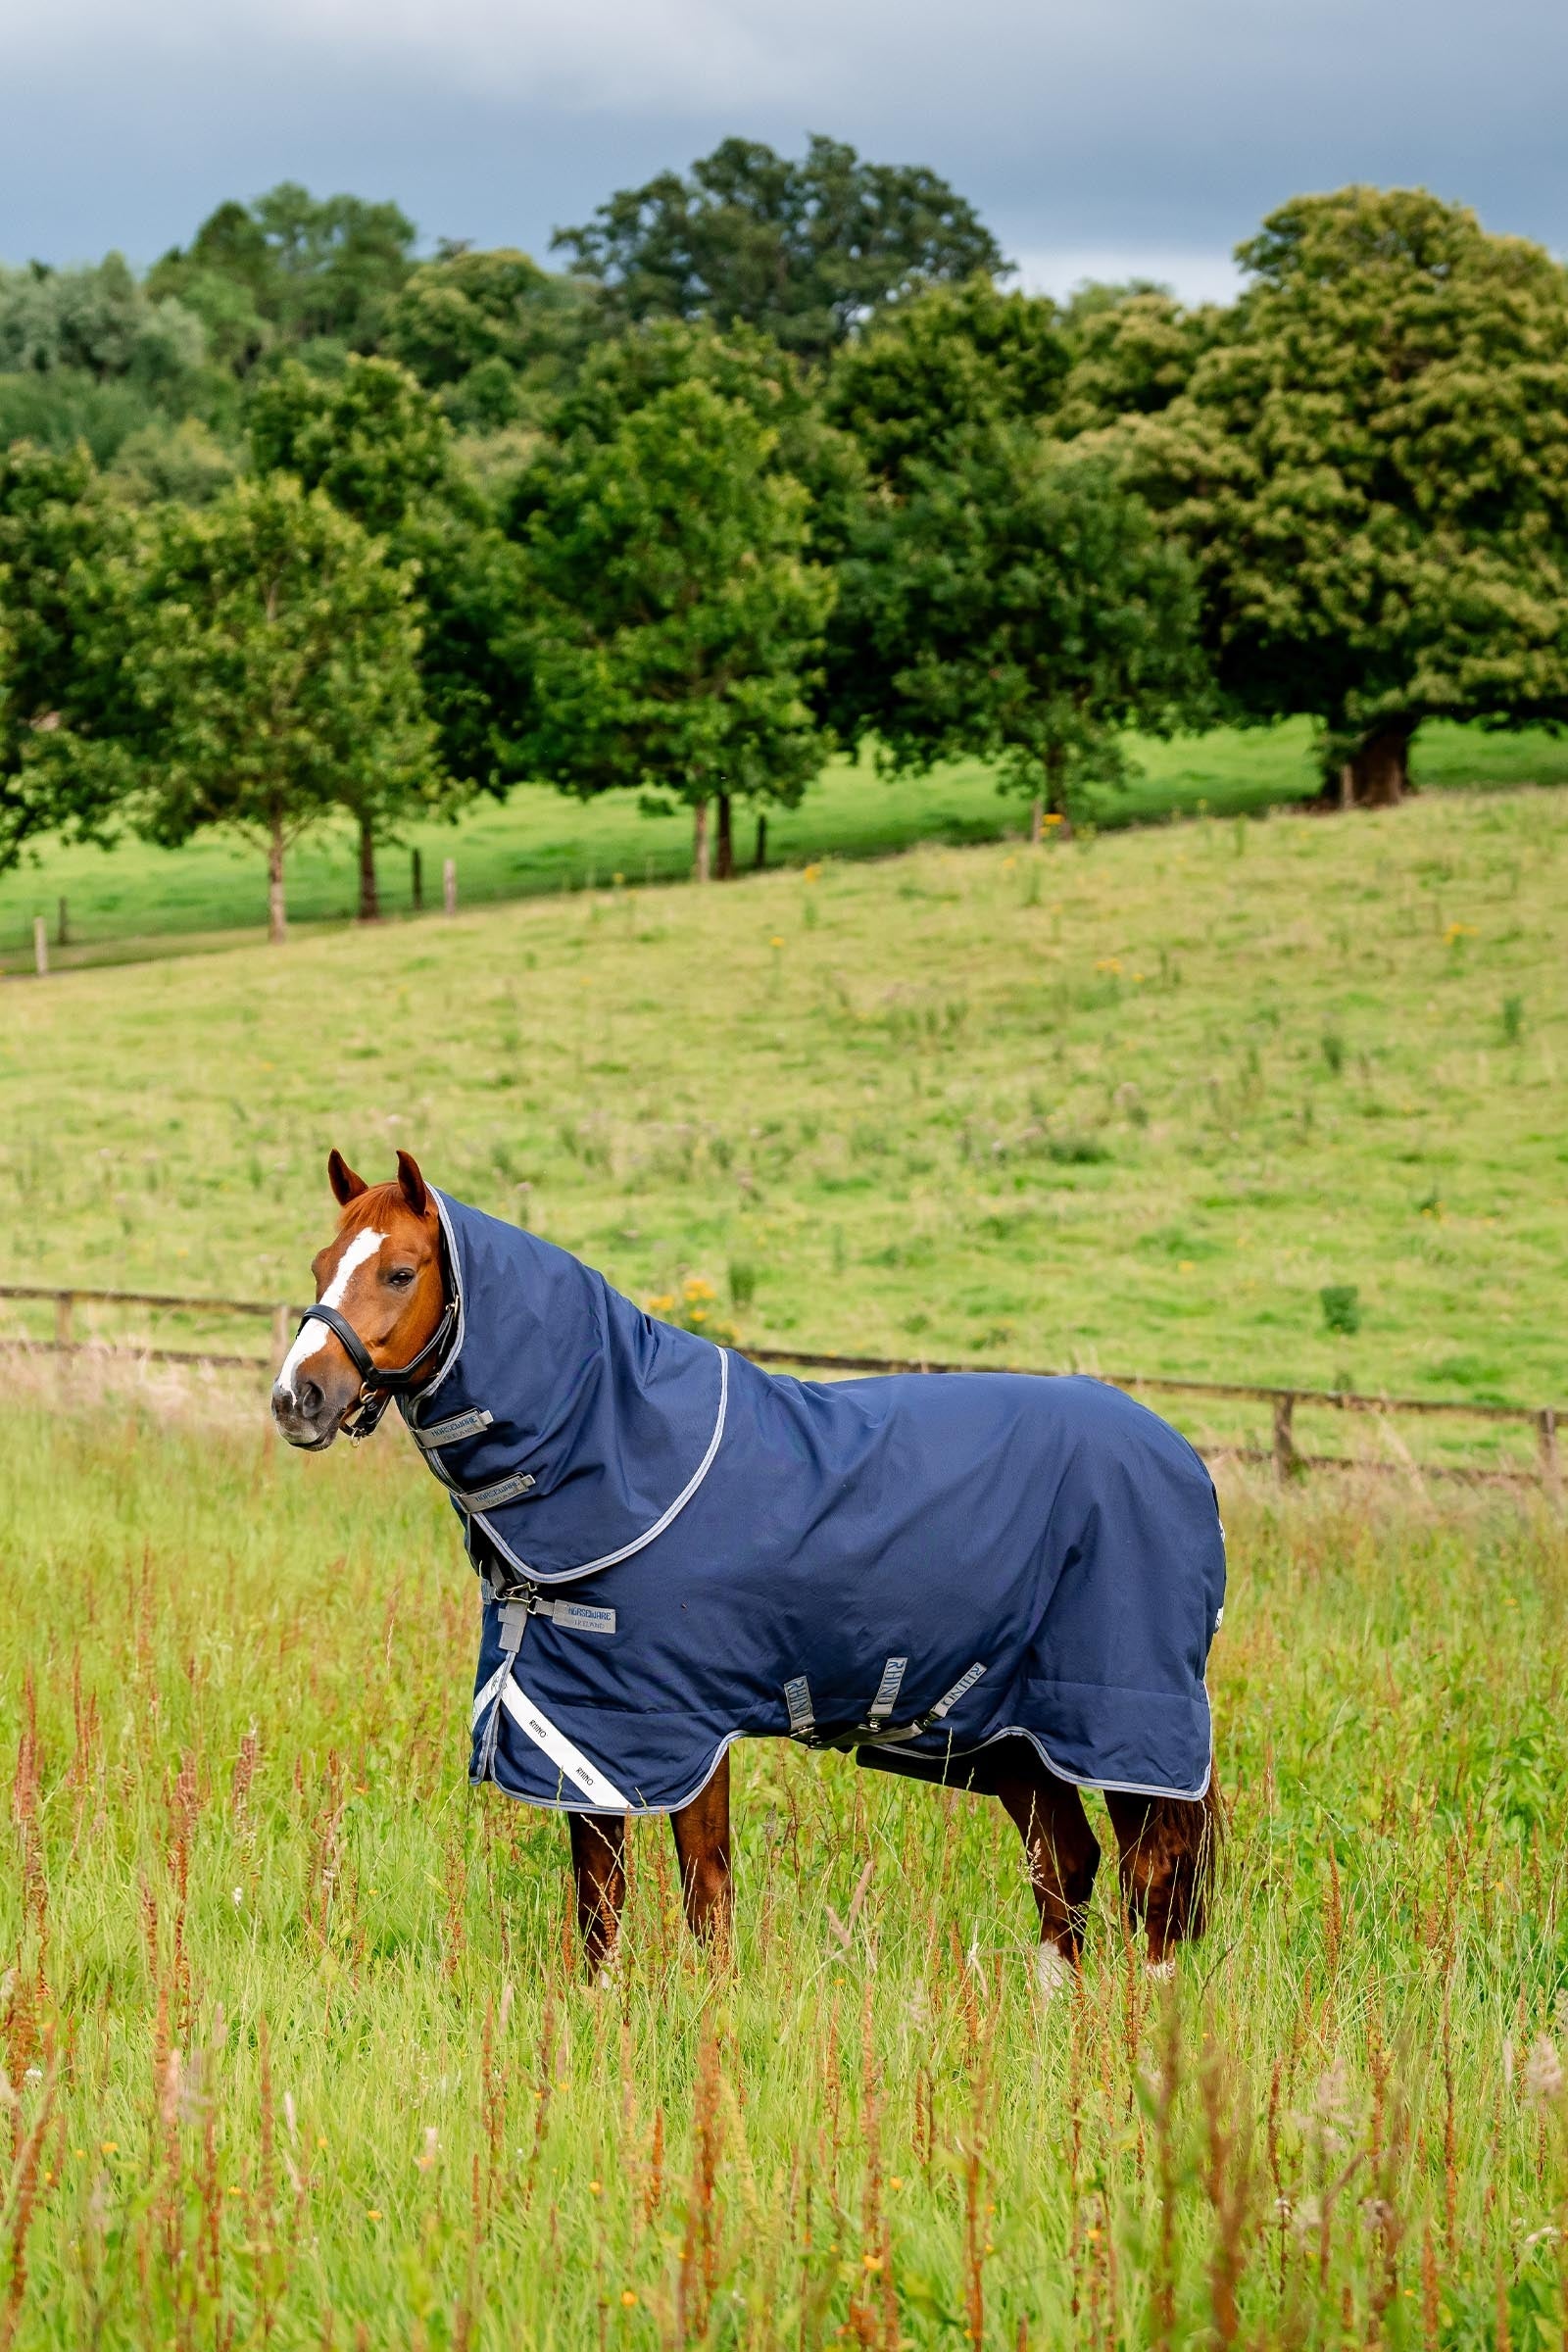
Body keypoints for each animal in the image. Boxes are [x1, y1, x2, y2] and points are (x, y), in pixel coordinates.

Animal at [272, 1149, 1223, 1987]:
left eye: (400, 1271)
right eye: (321, 1263)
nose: (296, 1399)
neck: (621, 1447)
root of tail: (1180, 1454)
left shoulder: (680, 1727)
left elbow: (704, 1890)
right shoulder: (580, 1726)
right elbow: (599, 1898)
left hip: (1124, 1723)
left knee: (1155, 1874)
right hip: (1016, 1731)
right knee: (1065, 1864)